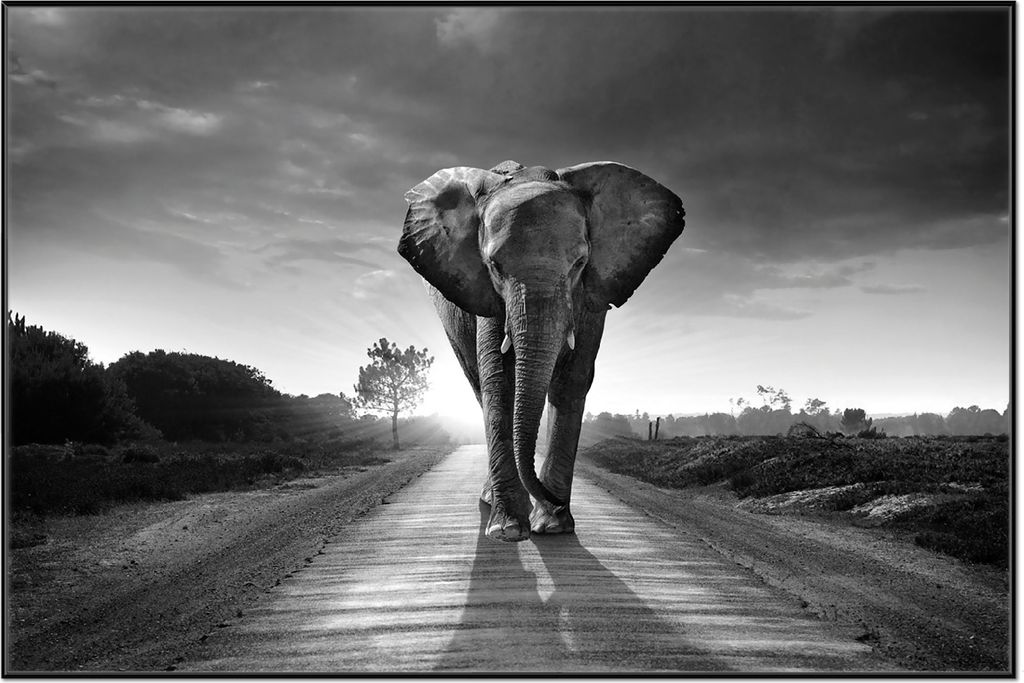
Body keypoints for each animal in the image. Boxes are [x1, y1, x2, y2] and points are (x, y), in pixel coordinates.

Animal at [398, 160, 685, 542]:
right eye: (494, 266)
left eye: (580, 263)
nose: (555, 502)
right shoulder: (487, 298)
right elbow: (499, 382)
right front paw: (508, 530)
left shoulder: (590, 297)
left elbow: (572, 381)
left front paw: (553, 526)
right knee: (479, 387)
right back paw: (491, 501)